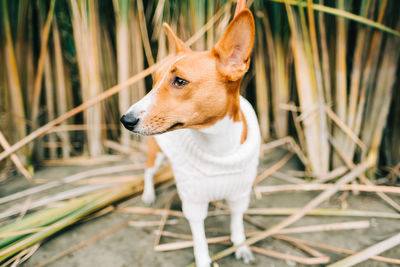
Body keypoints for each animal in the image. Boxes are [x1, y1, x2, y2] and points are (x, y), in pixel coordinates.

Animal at [120, 8, 260, 267]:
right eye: (154, 82)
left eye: (180, 81)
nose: (126, 119)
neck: (217, 147)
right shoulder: (194, 203)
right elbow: (200, 240)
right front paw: (204, 259)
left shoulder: (240, 193)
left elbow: (237, 222)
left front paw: (241, 246)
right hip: (156, 153)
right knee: (148, 172)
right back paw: (148, 194)